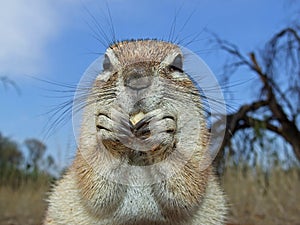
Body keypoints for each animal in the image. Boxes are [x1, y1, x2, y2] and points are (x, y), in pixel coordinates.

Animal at [44, 39, 227, 224]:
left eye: (177, 64)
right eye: (106, 63)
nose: (137, 79)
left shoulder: (197, 143)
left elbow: (191, 186)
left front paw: (159, 129)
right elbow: (91, 183)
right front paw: (113, 128)